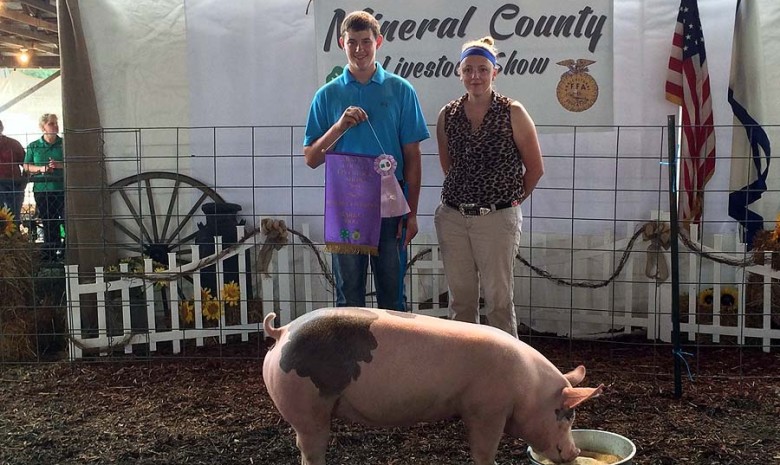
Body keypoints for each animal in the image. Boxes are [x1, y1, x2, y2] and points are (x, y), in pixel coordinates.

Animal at [262, 306, 604, 462]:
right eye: (566, 416)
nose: (575, 452)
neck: (528, 388)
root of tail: (283, 331)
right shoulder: (487, 411)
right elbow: (484, 450)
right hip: (307, 407)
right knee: (311, 447)